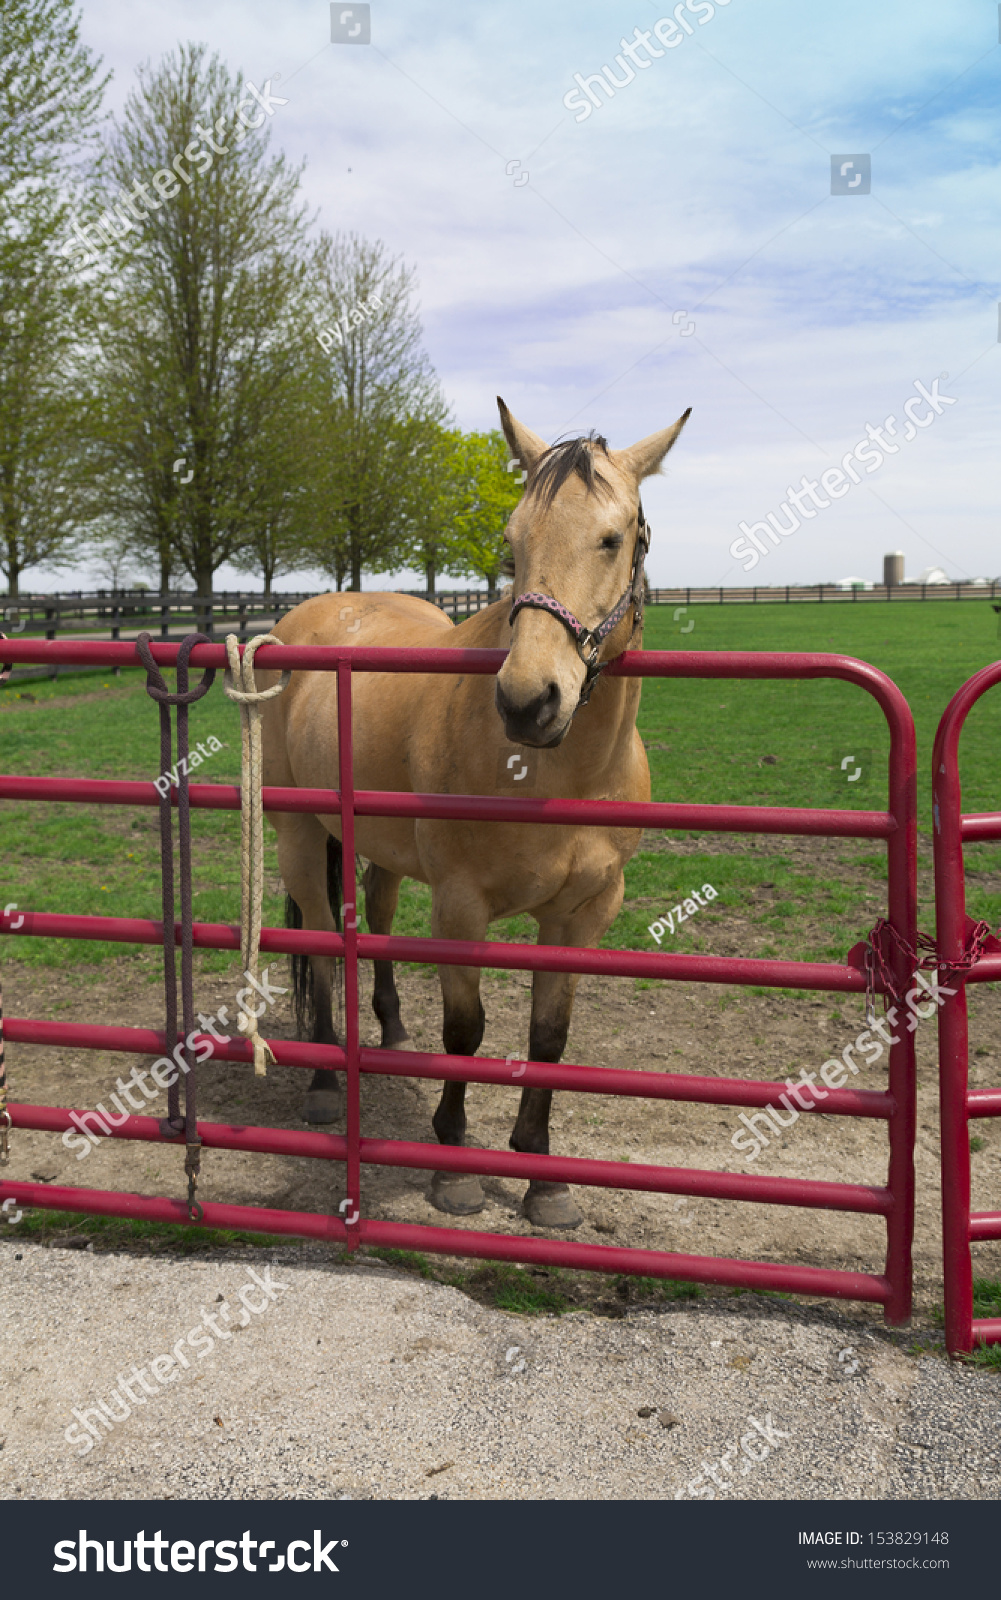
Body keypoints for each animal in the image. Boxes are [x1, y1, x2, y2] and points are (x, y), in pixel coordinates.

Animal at [260, 398, 690, 1228]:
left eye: (612, 538)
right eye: (512, 539)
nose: (528, 703)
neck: (560, 772)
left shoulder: (583, 914)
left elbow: (549, 1035)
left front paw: (542, 1177)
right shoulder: (461, 906)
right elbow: (467, 1029)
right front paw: (453, 1167)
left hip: (381, 846)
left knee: (375, 912)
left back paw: (393, 1033)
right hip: (298, 835)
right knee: (322, 940)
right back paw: (325, 1082)